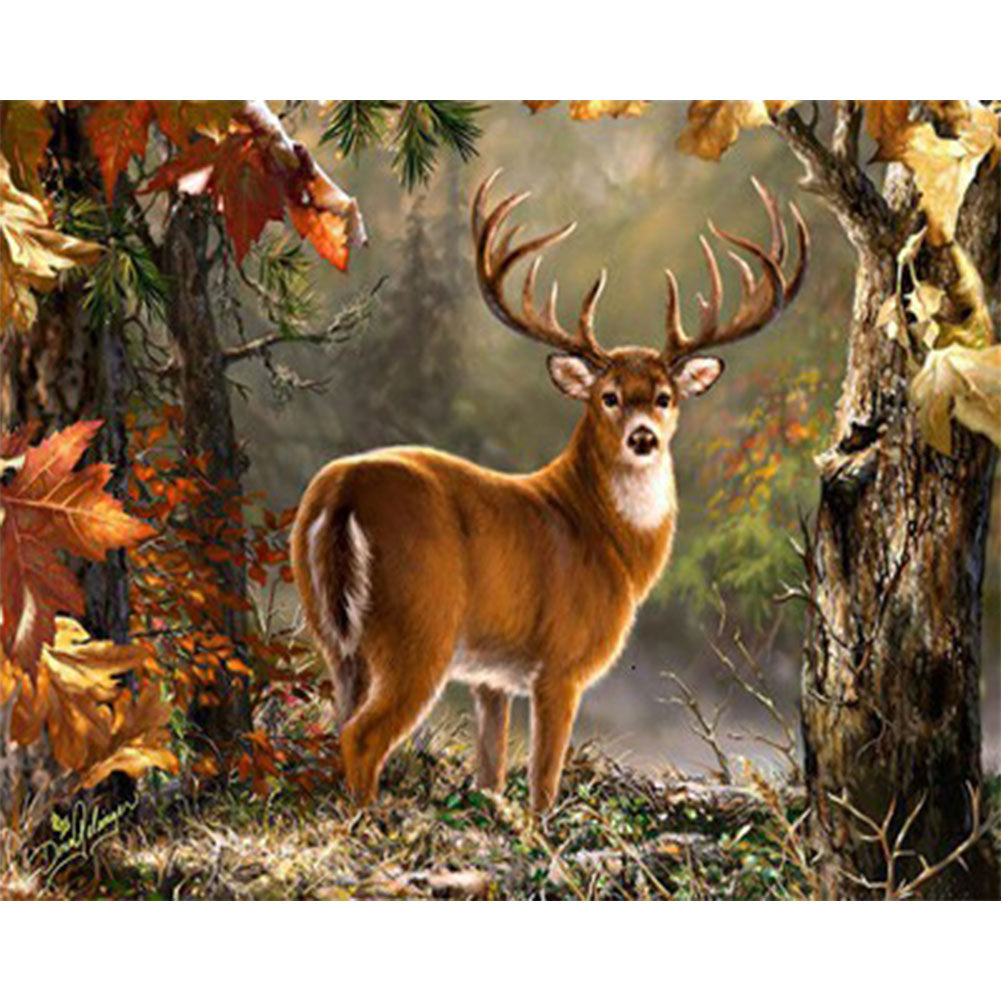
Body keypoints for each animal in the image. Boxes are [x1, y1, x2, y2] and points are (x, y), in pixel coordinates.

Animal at [290, 169, 808, 813]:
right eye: (608, 396)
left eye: (665, 396)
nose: (642, 437)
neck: (608, 542)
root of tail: (344, 491)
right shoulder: (562, 663)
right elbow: (543, 782)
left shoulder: (490, 677)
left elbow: (490, 773)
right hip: (419, 626)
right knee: (363, 735)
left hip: (332, 632)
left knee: (339, 720)